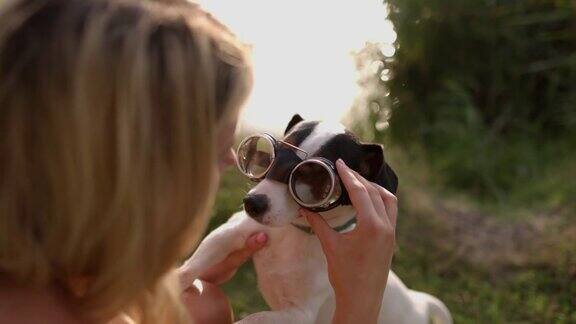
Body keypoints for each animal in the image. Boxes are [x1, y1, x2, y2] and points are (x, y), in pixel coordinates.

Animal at [182, 115, 452, 322]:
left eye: (313, 176)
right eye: (269, 157)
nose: (253, 203)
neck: (295, 233)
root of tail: (418, 302)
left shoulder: (299, 314)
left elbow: (253, 318)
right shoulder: (230, 233)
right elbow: (194, 263)